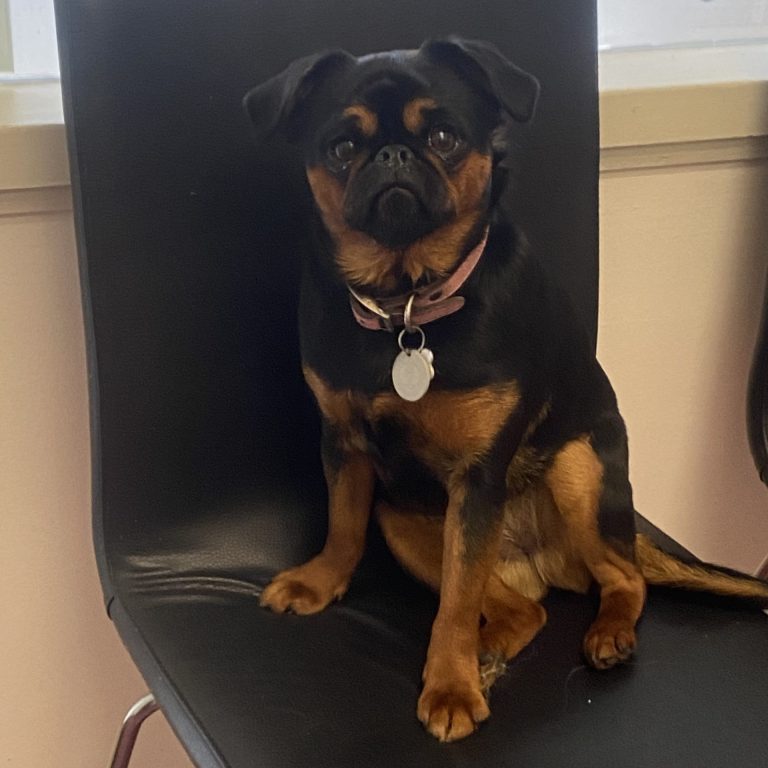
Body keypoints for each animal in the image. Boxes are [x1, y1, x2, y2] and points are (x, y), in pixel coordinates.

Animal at [244, 39, 768, 740]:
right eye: (342, 147)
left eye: (443, 138)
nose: (393, 155)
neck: (403, 305)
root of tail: (539, 560)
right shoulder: (345, 443)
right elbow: (344, 523)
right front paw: (322, 581)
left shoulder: (477, 476)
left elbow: (456, 604)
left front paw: (451, 686)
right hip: (408, 521)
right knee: (523, 610)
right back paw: (492, 646)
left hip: (576, 474)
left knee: (624, 578)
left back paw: (603, 634)